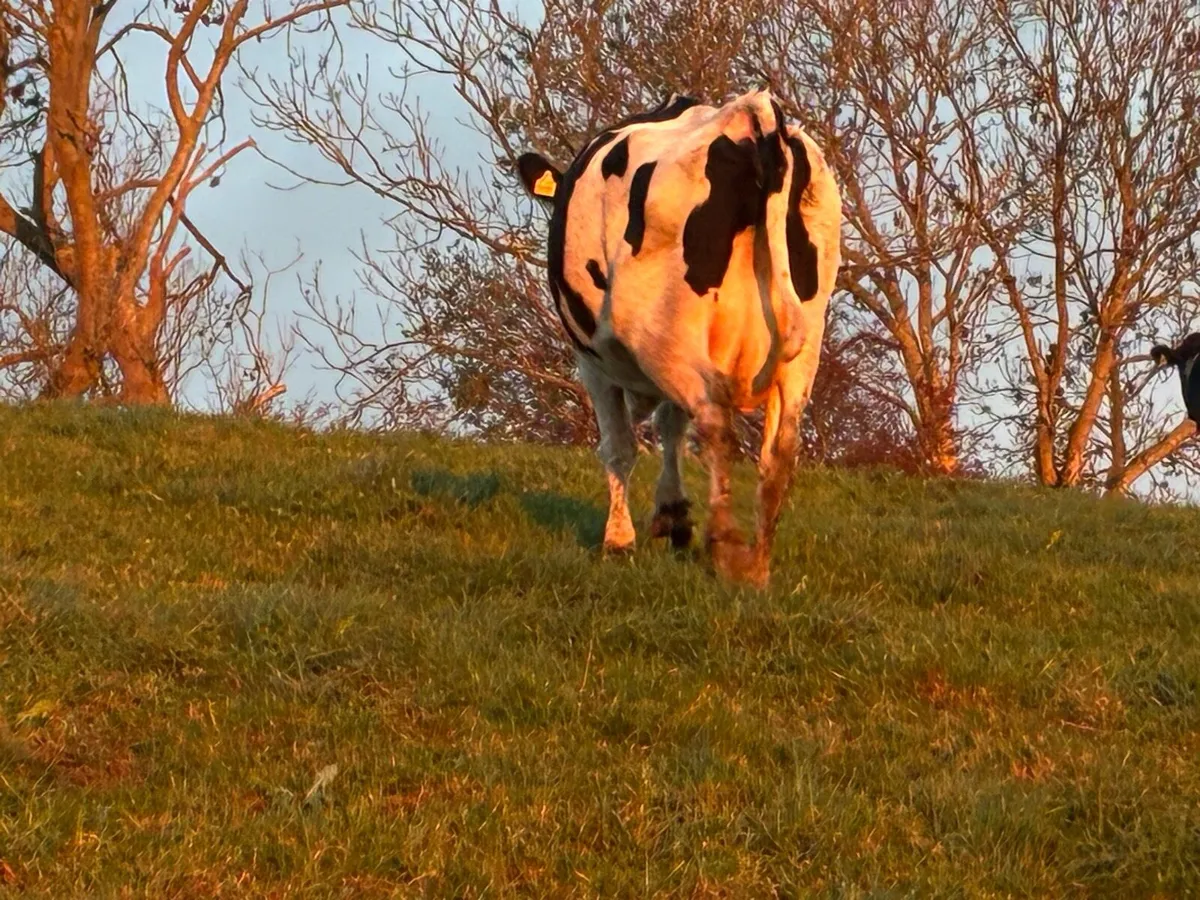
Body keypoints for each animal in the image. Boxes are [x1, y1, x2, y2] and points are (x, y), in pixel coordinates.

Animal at [513, 88, 843, 588]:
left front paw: (620, 541)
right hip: (801, 345)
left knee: (715, 426)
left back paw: (725, 550)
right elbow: (670, 425)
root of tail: (752, 116)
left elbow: (620, 446)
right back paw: (758, 564)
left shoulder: (592, 362)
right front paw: (672, 517)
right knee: (779, 449)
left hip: (658, 328)